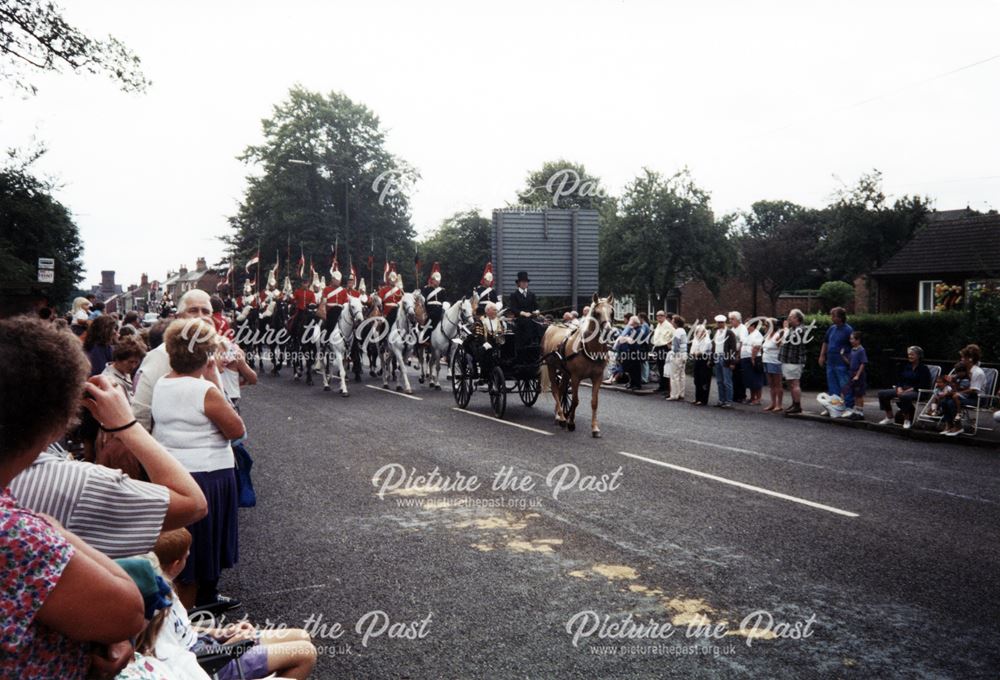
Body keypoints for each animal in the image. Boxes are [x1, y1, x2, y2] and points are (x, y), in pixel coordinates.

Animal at [544, 294, 612, 438]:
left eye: (611, 312)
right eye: (597, 313)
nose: (608, 330)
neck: (588, 348)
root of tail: (553, 325)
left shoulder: (597, 377)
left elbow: (594, 402)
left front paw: (595, 428)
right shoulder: (576, 377)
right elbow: (575, 401)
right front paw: (571, 423)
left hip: (564, 372)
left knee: (561, 389)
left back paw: (559, 415)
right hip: (551, 366)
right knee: (555, 389)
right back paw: (561, 418)